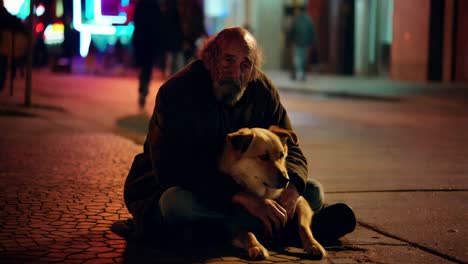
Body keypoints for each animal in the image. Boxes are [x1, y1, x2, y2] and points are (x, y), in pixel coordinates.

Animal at [219, 126, 326, 260]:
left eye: (281, 155)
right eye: (264, 157)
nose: (286, 179)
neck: (265, 193)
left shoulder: (299, 201)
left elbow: (303, 226)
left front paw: (313, 244)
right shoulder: (232, 222)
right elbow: (246, 232)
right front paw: (256, 246)